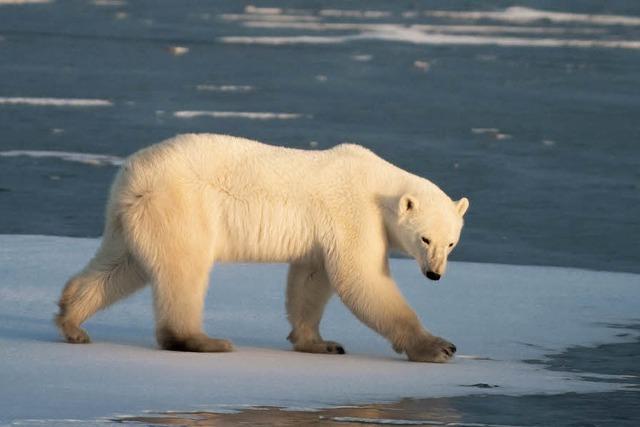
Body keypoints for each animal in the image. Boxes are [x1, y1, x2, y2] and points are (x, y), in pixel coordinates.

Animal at [56, 133, 470, 362]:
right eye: (425, 238)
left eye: (451, 242)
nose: (435, 273)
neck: (377, 183)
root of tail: (133, 175)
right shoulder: (353, 213)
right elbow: (362, 278)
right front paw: (438, 347)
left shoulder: (321, 234)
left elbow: (310, 279)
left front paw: (319, 342)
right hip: (182, 204)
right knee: (184, 269)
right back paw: (203, 340)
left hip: (134, 216)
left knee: (120, 266)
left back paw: (72, 322)